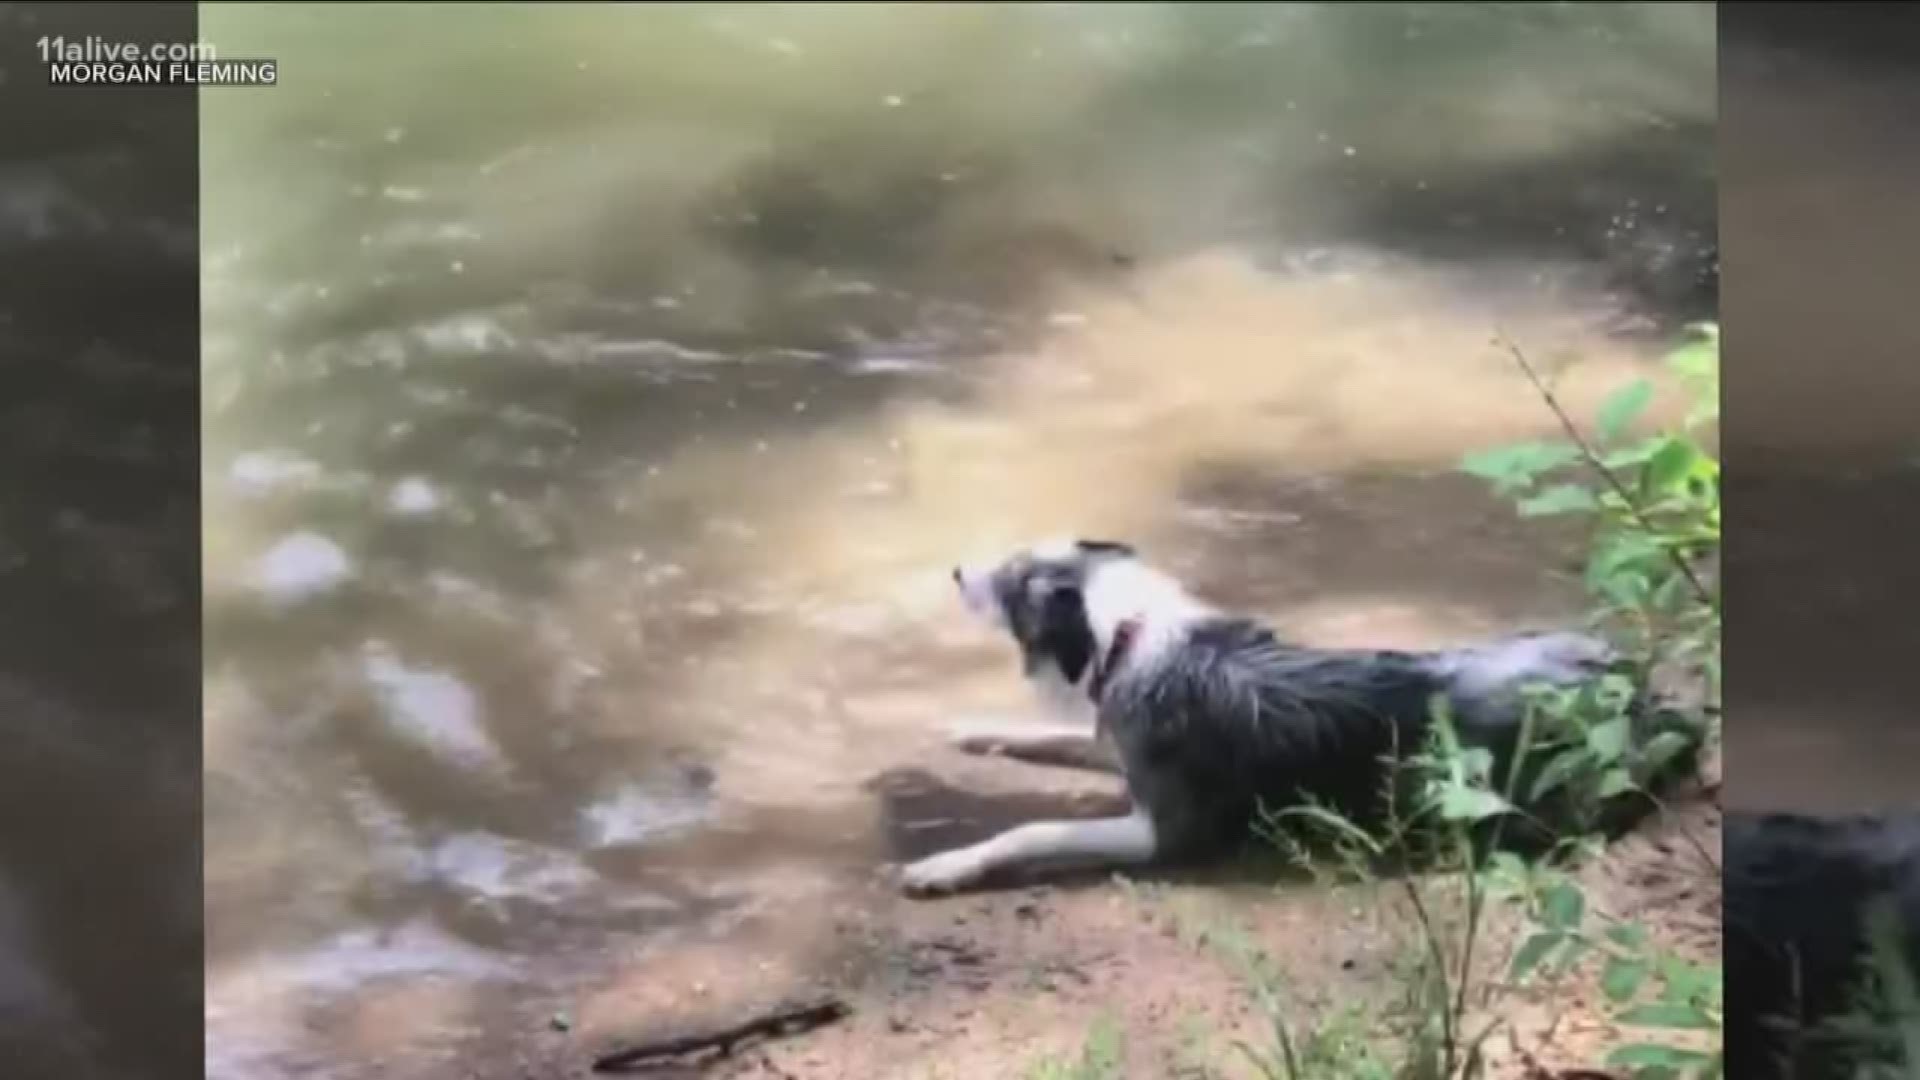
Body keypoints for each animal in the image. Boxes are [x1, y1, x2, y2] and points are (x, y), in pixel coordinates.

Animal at [906, 534, 1704, 891]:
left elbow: (1032, 829)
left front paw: (944, 864)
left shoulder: (1163, 833)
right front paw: (973, 730)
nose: (954, 569)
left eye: (1012, 582)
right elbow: (1051, 734)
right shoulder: (1117, 742)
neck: (1129, 637)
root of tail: (1639, 689)